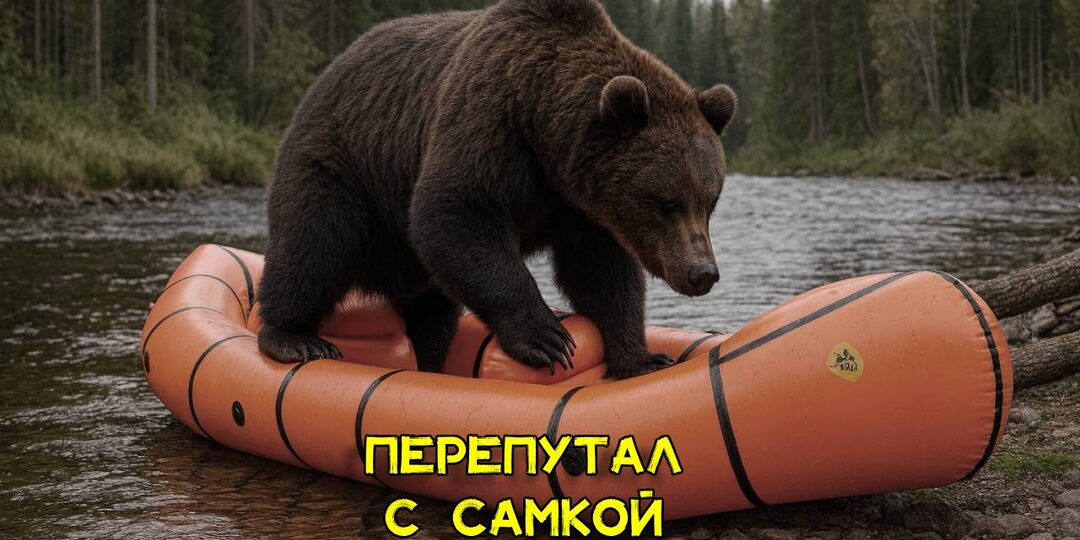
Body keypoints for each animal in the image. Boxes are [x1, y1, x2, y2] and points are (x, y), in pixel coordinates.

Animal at [256, 0, 737, 380]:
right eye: (667, 203)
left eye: (710, 201)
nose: (702, 273)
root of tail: (325, 73)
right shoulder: (489, 125)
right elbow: (454, 214)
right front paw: (547, 338)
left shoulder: (581, 206)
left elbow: (602, 274)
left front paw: (641, 357)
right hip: (343, 168)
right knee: (313, 246)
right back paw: (294, 337)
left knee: (433, 315)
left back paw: (427, 360)